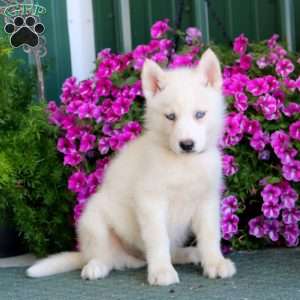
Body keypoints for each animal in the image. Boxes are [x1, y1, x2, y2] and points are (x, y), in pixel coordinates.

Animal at [27, 49, 236, 286]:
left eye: (200, 114)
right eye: (170, 116)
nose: (187, 145)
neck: (183, 162)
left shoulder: (207, 200)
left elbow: (210, 235)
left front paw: (215, 263)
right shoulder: (150, 201)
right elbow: (158, 239)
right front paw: (161, 271)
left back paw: (189, 254)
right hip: (93, 220)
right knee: (106, 256)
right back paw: (96, 266)